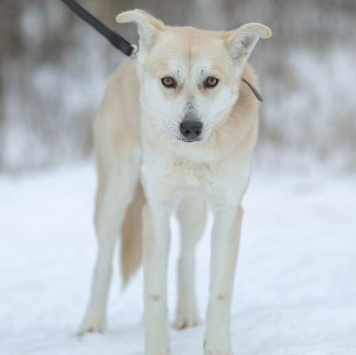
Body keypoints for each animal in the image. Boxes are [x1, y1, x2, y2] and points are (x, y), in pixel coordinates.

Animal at [78, 9, 272, 354]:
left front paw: (217, 346)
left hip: (194, 210)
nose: (191, 128)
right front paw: (157, 347)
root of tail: (132, 55)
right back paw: (92, 324)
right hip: (114, 196)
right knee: (103, 261)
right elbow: (154, 293)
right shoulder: (156, 209)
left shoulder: (228, 210)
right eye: (169, 80)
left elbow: (220, 292)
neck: (194, 155)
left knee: (186, 258)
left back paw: (187, 315)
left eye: (211, 81)